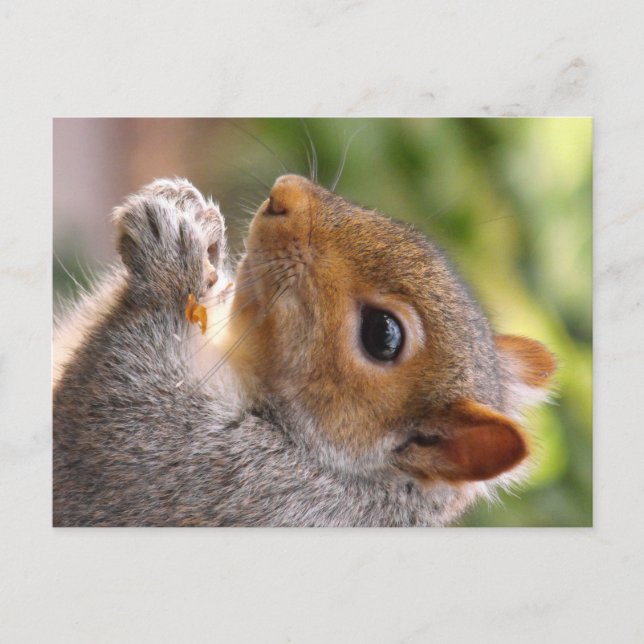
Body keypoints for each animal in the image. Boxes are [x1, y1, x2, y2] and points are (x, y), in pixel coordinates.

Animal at [53, 175, 556, 526]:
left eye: (383, 335)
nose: (285, 193)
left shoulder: (231, 479)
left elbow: (113, 405)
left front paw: (169, 267)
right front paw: (192, 218)